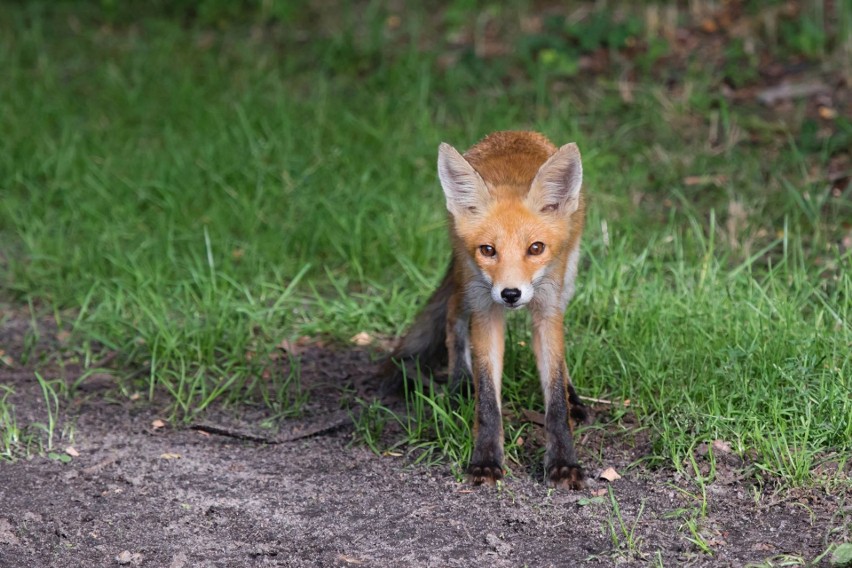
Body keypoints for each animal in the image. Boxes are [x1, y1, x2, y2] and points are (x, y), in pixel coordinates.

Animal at [390, 130, 588, 488]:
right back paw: (458, 384)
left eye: (535, 248)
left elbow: (554, 398)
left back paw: (574, 398)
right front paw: (485, 460)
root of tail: (515, 133)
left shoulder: (547, 309)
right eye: (488, 250)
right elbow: (487, 399)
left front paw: (564, 462)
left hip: (567, 279)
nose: (510, 294)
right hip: (467, 281)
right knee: (453, 313)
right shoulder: (486, 311)